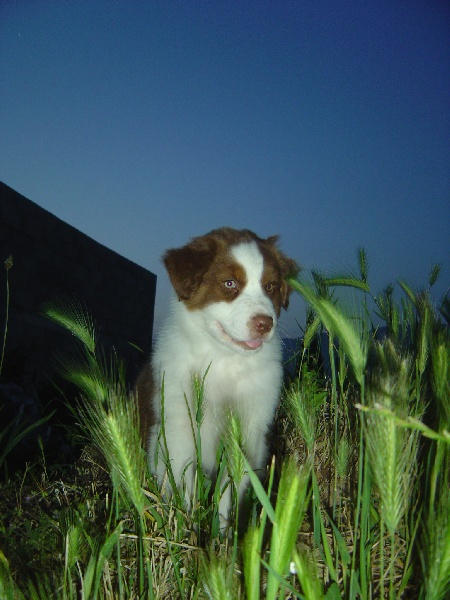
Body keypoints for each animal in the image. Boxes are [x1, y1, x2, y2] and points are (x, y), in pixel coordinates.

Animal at [136, 227, 299, 527]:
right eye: (230, 283)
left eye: (270, 287)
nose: (264, 323)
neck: (224, 359)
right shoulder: (176, 427)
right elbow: (181, 483)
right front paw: (185, 526)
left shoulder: (248, 429)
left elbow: (230, 488)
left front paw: (223, 532)